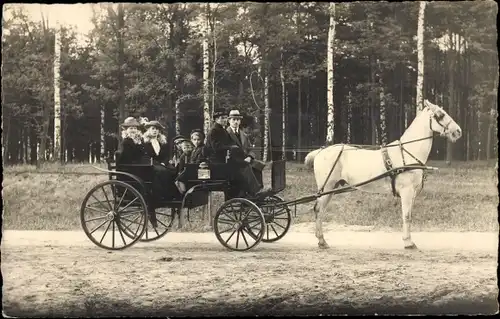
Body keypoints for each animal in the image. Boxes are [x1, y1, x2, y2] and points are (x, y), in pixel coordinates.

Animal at [304, 100, 464, 250]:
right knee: (318, 210)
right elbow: (406, 216)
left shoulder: (412, 194)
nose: (458, 131)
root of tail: (320, 151)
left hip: (331, 189)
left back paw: (322, 241)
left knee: (321, 211)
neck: (407, 153)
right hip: (326, 188)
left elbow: (409, 216)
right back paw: (322, 241)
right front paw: (408, 242)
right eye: (440, 115)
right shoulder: (406, 191)